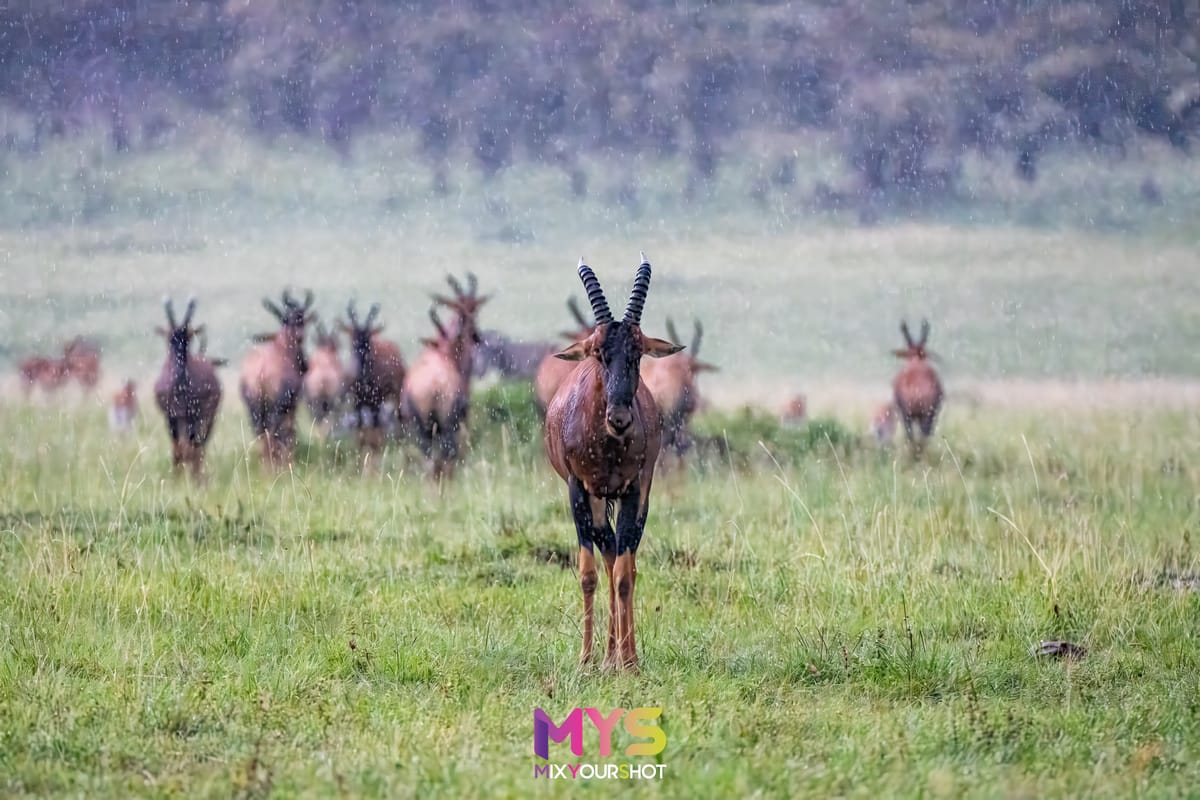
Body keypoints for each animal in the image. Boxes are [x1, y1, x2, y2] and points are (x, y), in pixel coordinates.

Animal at [153, 298, 222, 477]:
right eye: (170, 339)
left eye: (188, 338)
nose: (178, 371)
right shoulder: (170, 417)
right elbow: (177, 450)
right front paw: (175, 479)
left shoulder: (195, 416)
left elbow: (191, 450)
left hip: (207, 417)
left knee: (199, 447)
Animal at [239, 289, 314, 465]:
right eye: (287, 319)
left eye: (301, 317)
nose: (306, 365)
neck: (281, 348)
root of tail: (259, 373)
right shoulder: (291, 404)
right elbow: (290, 432)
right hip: (276, 408)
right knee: (274, 433)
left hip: (254, 409)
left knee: (261, 433)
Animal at [341, 301, 406, 457]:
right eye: (353, 338)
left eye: (368, 339)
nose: (360, 366)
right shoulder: (357, 403)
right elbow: (360, 430)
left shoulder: (377, 402)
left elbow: (376, 431)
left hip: (395, 396)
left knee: (397, 420)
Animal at [400, 274, 487, 479]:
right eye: (468, 311)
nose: (477, 336)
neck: (443, 353)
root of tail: (432, 385)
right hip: (447, 425)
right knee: (445, 460)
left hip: (421, 429)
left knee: (431, 462)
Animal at [544, 254, 682, 671]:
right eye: (598, 352)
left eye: (637, 353)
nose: (619, 419)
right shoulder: (577, 490)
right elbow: (589, 573)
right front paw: (585, 661)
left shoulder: (633, 490)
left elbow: (624, 575)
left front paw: (631, 663)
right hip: (595, 501)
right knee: (606, 554)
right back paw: (606, 657)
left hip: (635, 499)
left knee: (626, 562)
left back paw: (620, 656)